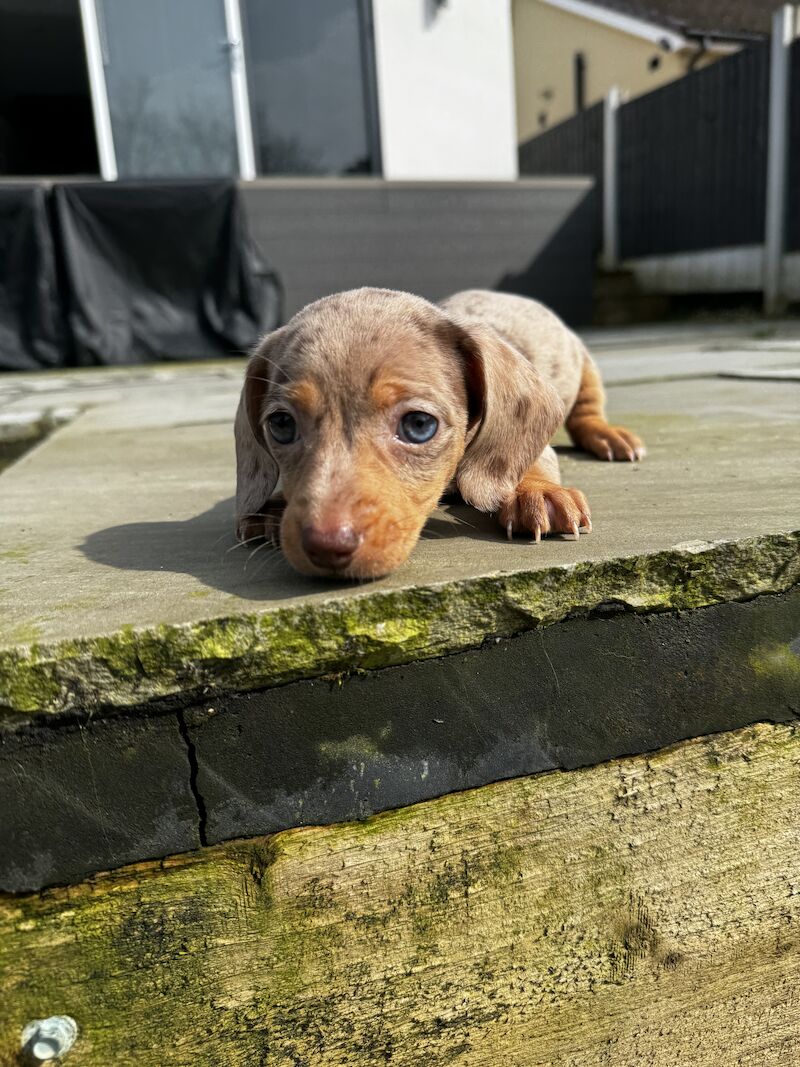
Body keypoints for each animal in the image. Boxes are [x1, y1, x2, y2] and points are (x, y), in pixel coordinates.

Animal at [233, 288, 644, 580]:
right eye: (281, 425)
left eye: (418, 425)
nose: (325, 546)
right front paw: (271, 507)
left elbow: (528, 459)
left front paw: (537, 492)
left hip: (584, 366)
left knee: (587, 411)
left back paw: (609, 435)